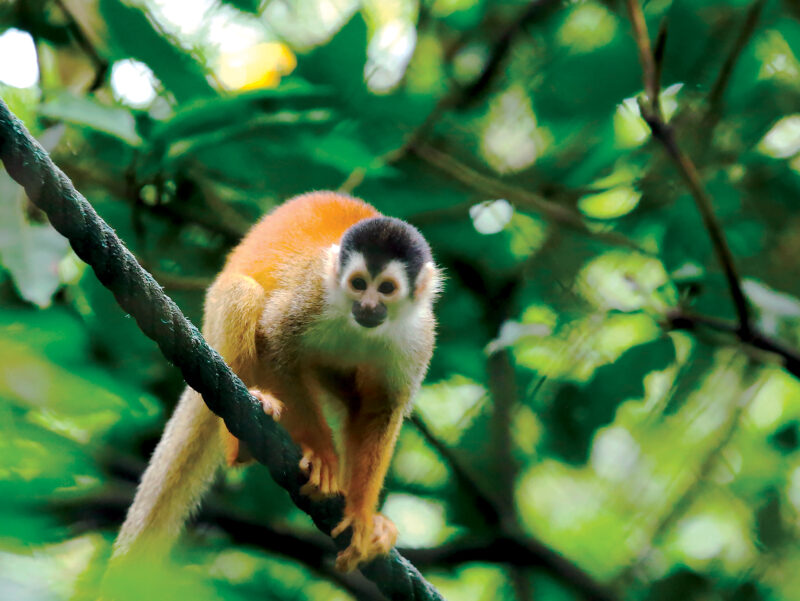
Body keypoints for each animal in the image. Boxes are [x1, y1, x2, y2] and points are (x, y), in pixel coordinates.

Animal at [111, 191, 441, 573]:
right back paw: (242, 440)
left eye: (386, 288)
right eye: (359, 284)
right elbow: (274, 343)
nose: (369, 306)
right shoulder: (312, 294)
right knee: (243, 294)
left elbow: (381, 409)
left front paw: (361, 515)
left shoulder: (418, 339)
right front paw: (322, 456)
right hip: (217, 318)